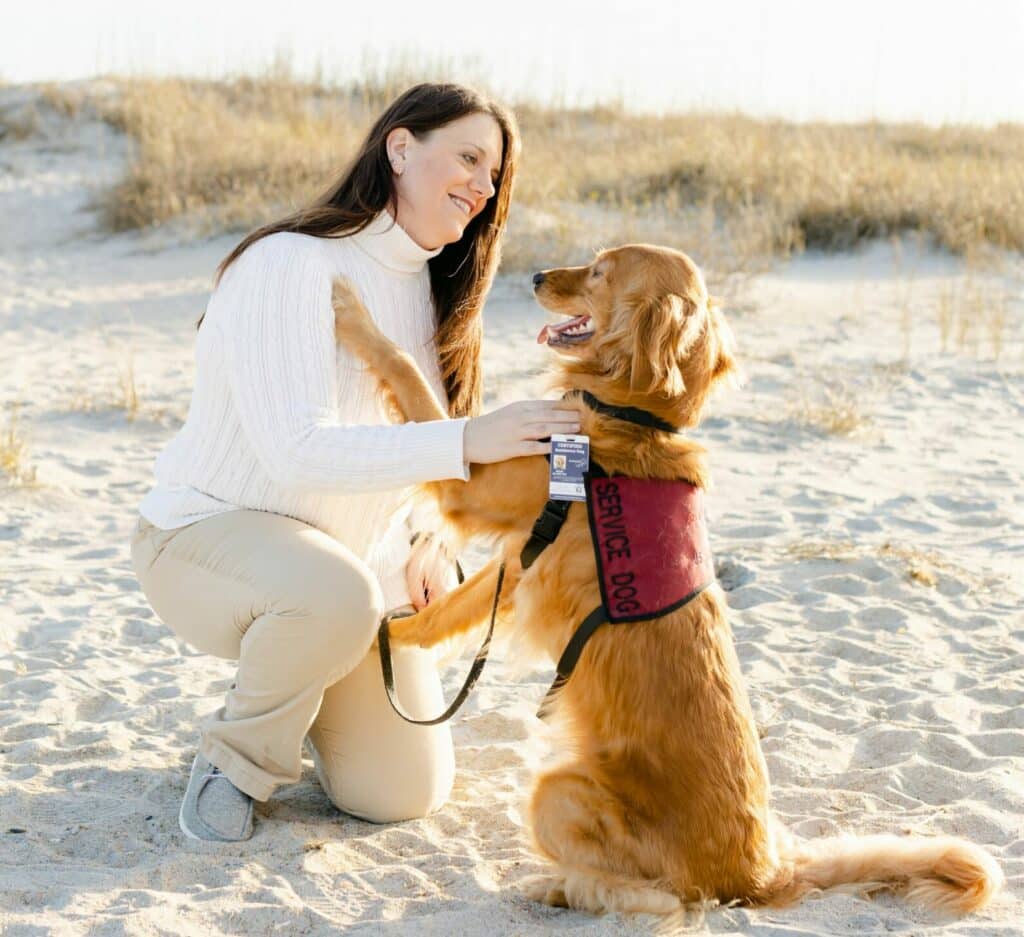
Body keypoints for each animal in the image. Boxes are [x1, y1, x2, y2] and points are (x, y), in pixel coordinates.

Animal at [331, 245, 1003, 921]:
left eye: (600, 271)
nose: (537, 276)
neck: (633, 414)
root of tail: (761, 873)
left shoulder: (476, 486)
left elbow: (408, 375)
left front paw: (352, 312)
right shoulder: (519, 555)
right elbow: (448, 611)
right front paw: (387, 638)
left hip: (558, 792)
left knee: (667, 900)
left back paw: (559, 886)